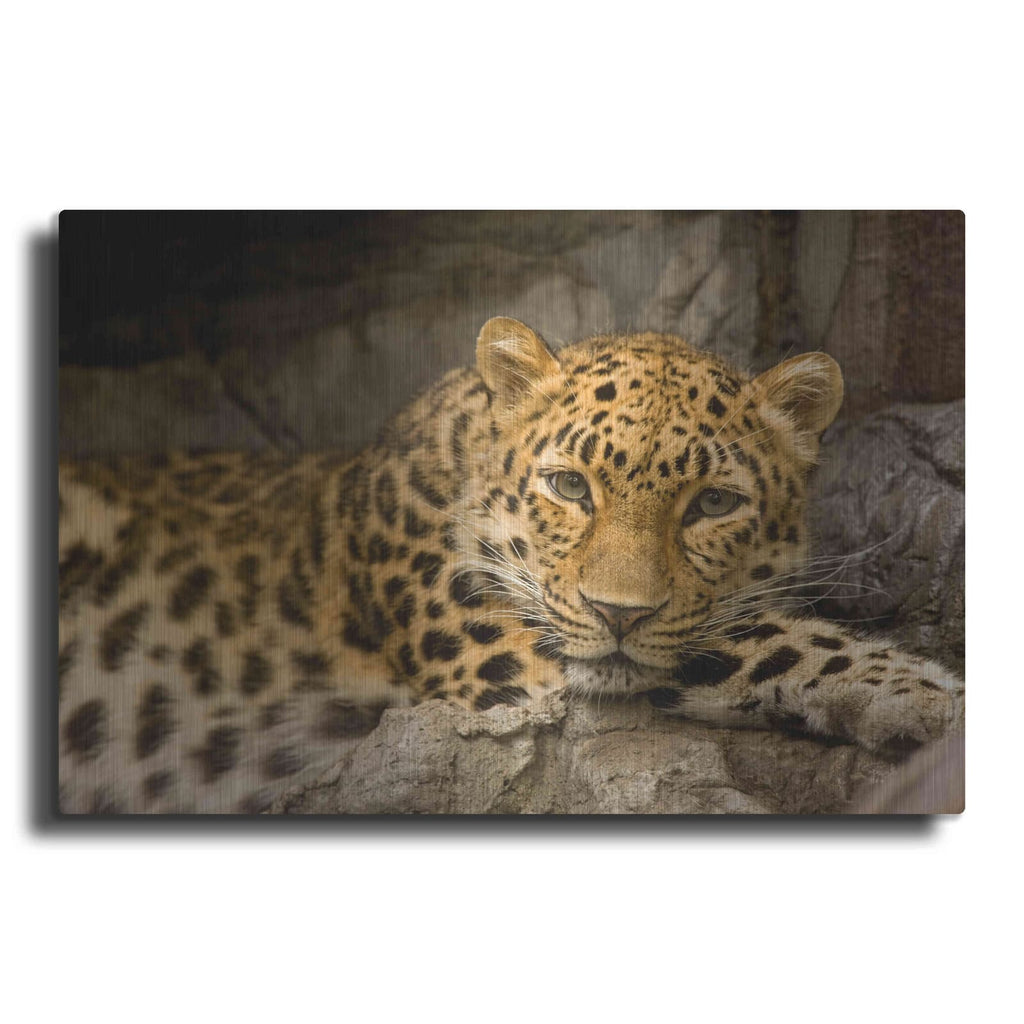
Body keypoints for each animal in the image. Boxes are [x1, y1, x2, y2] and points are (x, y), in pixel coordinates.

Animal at [57, 317, 964, 813]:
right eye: (569, 486)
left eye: (713, 504)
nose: (619, 612)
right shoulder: (512, 658)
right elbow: (769, 640)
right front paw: (928, 697)